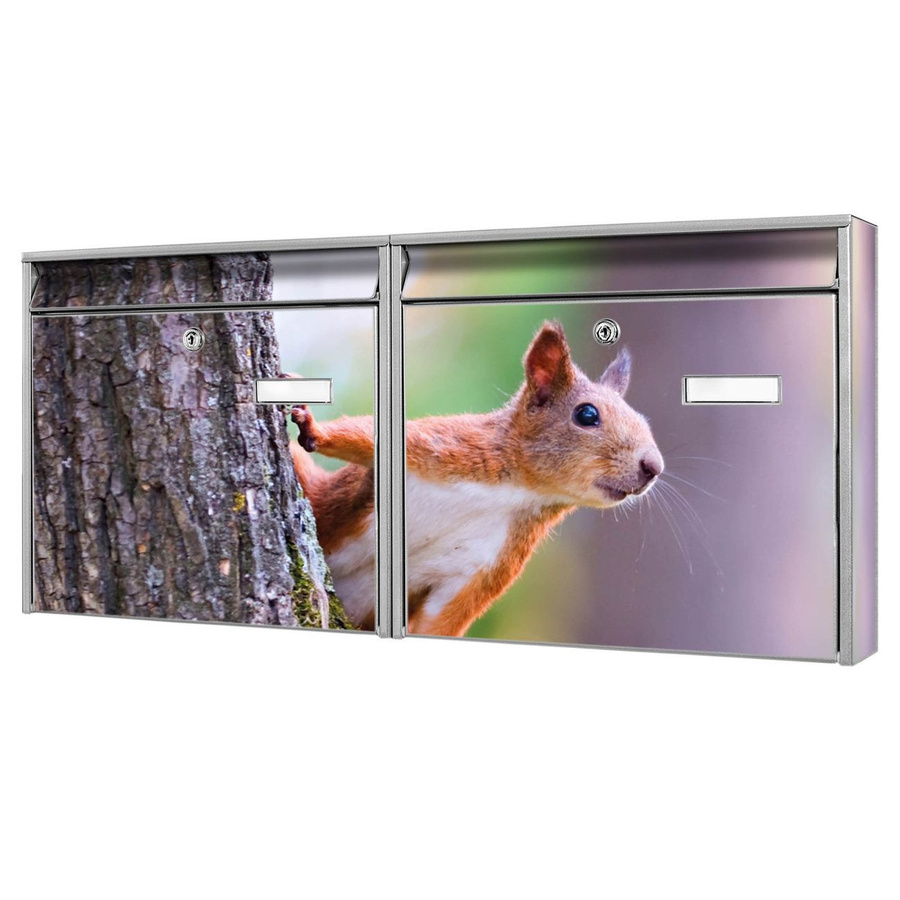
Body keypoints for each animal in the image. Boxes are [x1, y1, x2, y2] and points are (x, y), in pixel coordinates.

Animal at [289, 321, 663, 637]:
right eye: (586, 414)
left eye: (643, 419)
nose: (653, 467)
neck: (517, 491)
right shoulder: (445, 447)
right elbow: (368, 436)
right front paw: (314, 429)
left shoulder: (486, 566)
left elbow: (443, 619)